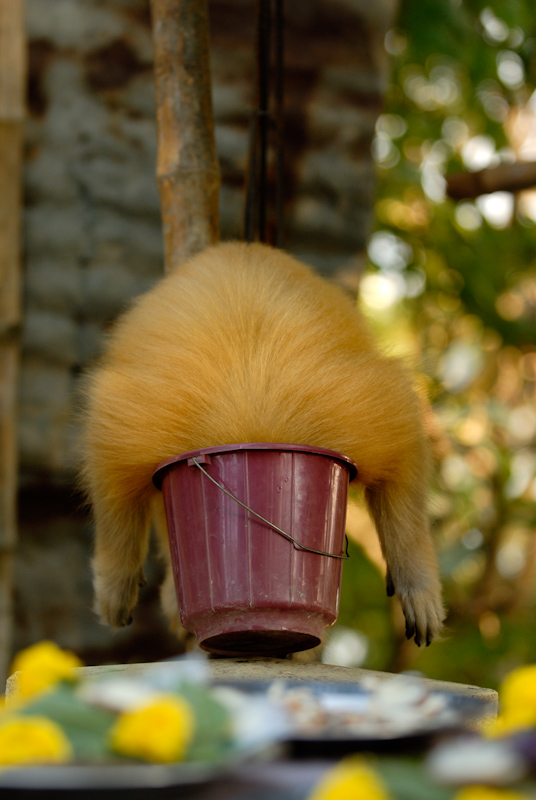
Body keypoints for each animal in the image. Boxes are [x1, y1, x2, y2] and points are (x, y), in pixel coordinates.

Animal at [80, 241, 444, 648]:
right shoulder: (131, 427)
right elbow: (113, 497)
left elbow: (405, 481)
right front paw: (117, 585)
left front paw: (418, 587)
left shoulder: (370, 420)